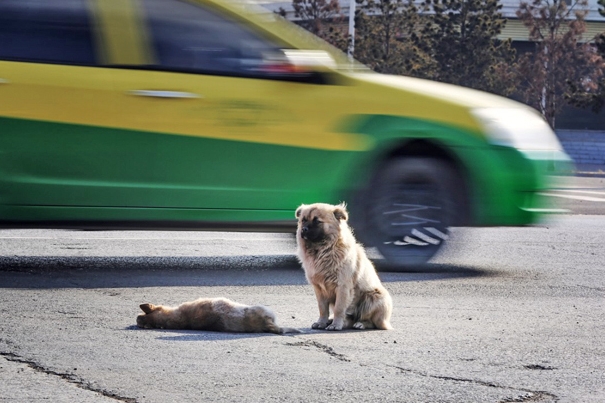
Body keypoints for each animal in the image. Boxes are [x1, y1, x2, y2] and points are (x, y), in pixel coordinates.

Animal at [296, 202, 392, 332]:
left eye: (317, 221)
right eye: (303, 220)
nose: (304, 229)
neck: (323, 250)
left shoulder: (343, 287)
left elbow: (339, 308)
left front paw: (336, 325)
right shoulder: (319, 289)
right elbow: (322, 309)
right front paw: (322, 322)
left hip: (375, 297)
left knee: (371, 321)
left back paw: (361, 324)